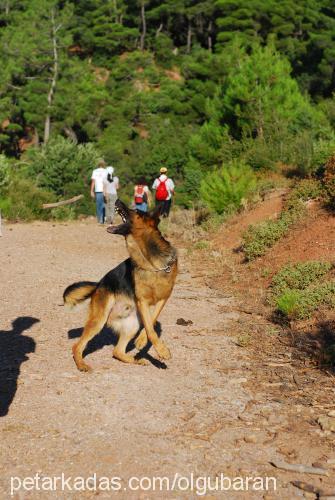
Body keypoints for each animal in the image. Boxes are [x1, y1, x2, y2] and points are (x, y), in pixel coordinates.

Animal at [63, 199, 178, 372]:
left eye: (136, 211)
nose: (117, 200)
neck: (150, 261)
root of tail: (99, 284)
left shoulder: (163, 298)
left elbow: (151, 321)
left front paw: (142, 341)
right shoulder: (142, 301)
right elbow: (151, 328)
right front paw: (162, 350)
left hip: (133, 323)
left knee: (117, 351)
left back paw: (136, 360)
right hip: (99, 319)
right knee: (77, 346)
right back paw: (81, 364)